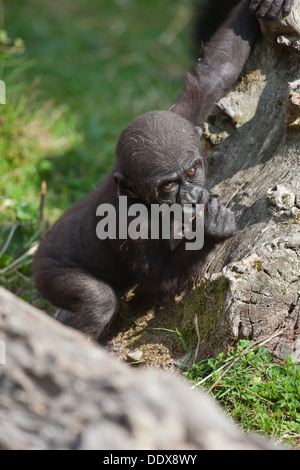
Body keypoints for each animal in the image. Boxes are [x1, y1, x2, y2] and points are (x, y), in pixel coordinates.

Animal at [33, 0, 292, 340]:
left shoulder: (184, 118)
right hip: (47, 273)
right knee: (97, 301)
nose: (193, 197)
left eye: (192, 172)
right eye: (168, 186)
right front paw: (212, 231)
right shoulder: (131, 225)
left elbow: (217, 70)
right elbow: (157, 285)